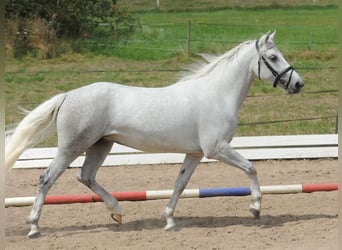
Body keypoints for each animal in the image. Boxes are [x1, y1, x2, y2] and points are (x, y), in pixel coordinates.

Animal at [5, 31, 304, 238]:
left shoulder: (195, 153)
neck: (217, 94)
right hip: (72, 147)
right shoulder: (216, 148)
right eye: (273, 57)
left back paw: (117, 212)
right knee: (46, 179)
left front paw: (169, 220)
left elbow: (180, 184)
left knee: (86, 176)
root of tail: (68, 96)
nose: (299, 84)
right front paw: (255, 208)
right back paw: (34, 228)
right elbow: (251, 168)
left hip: (101, 145)